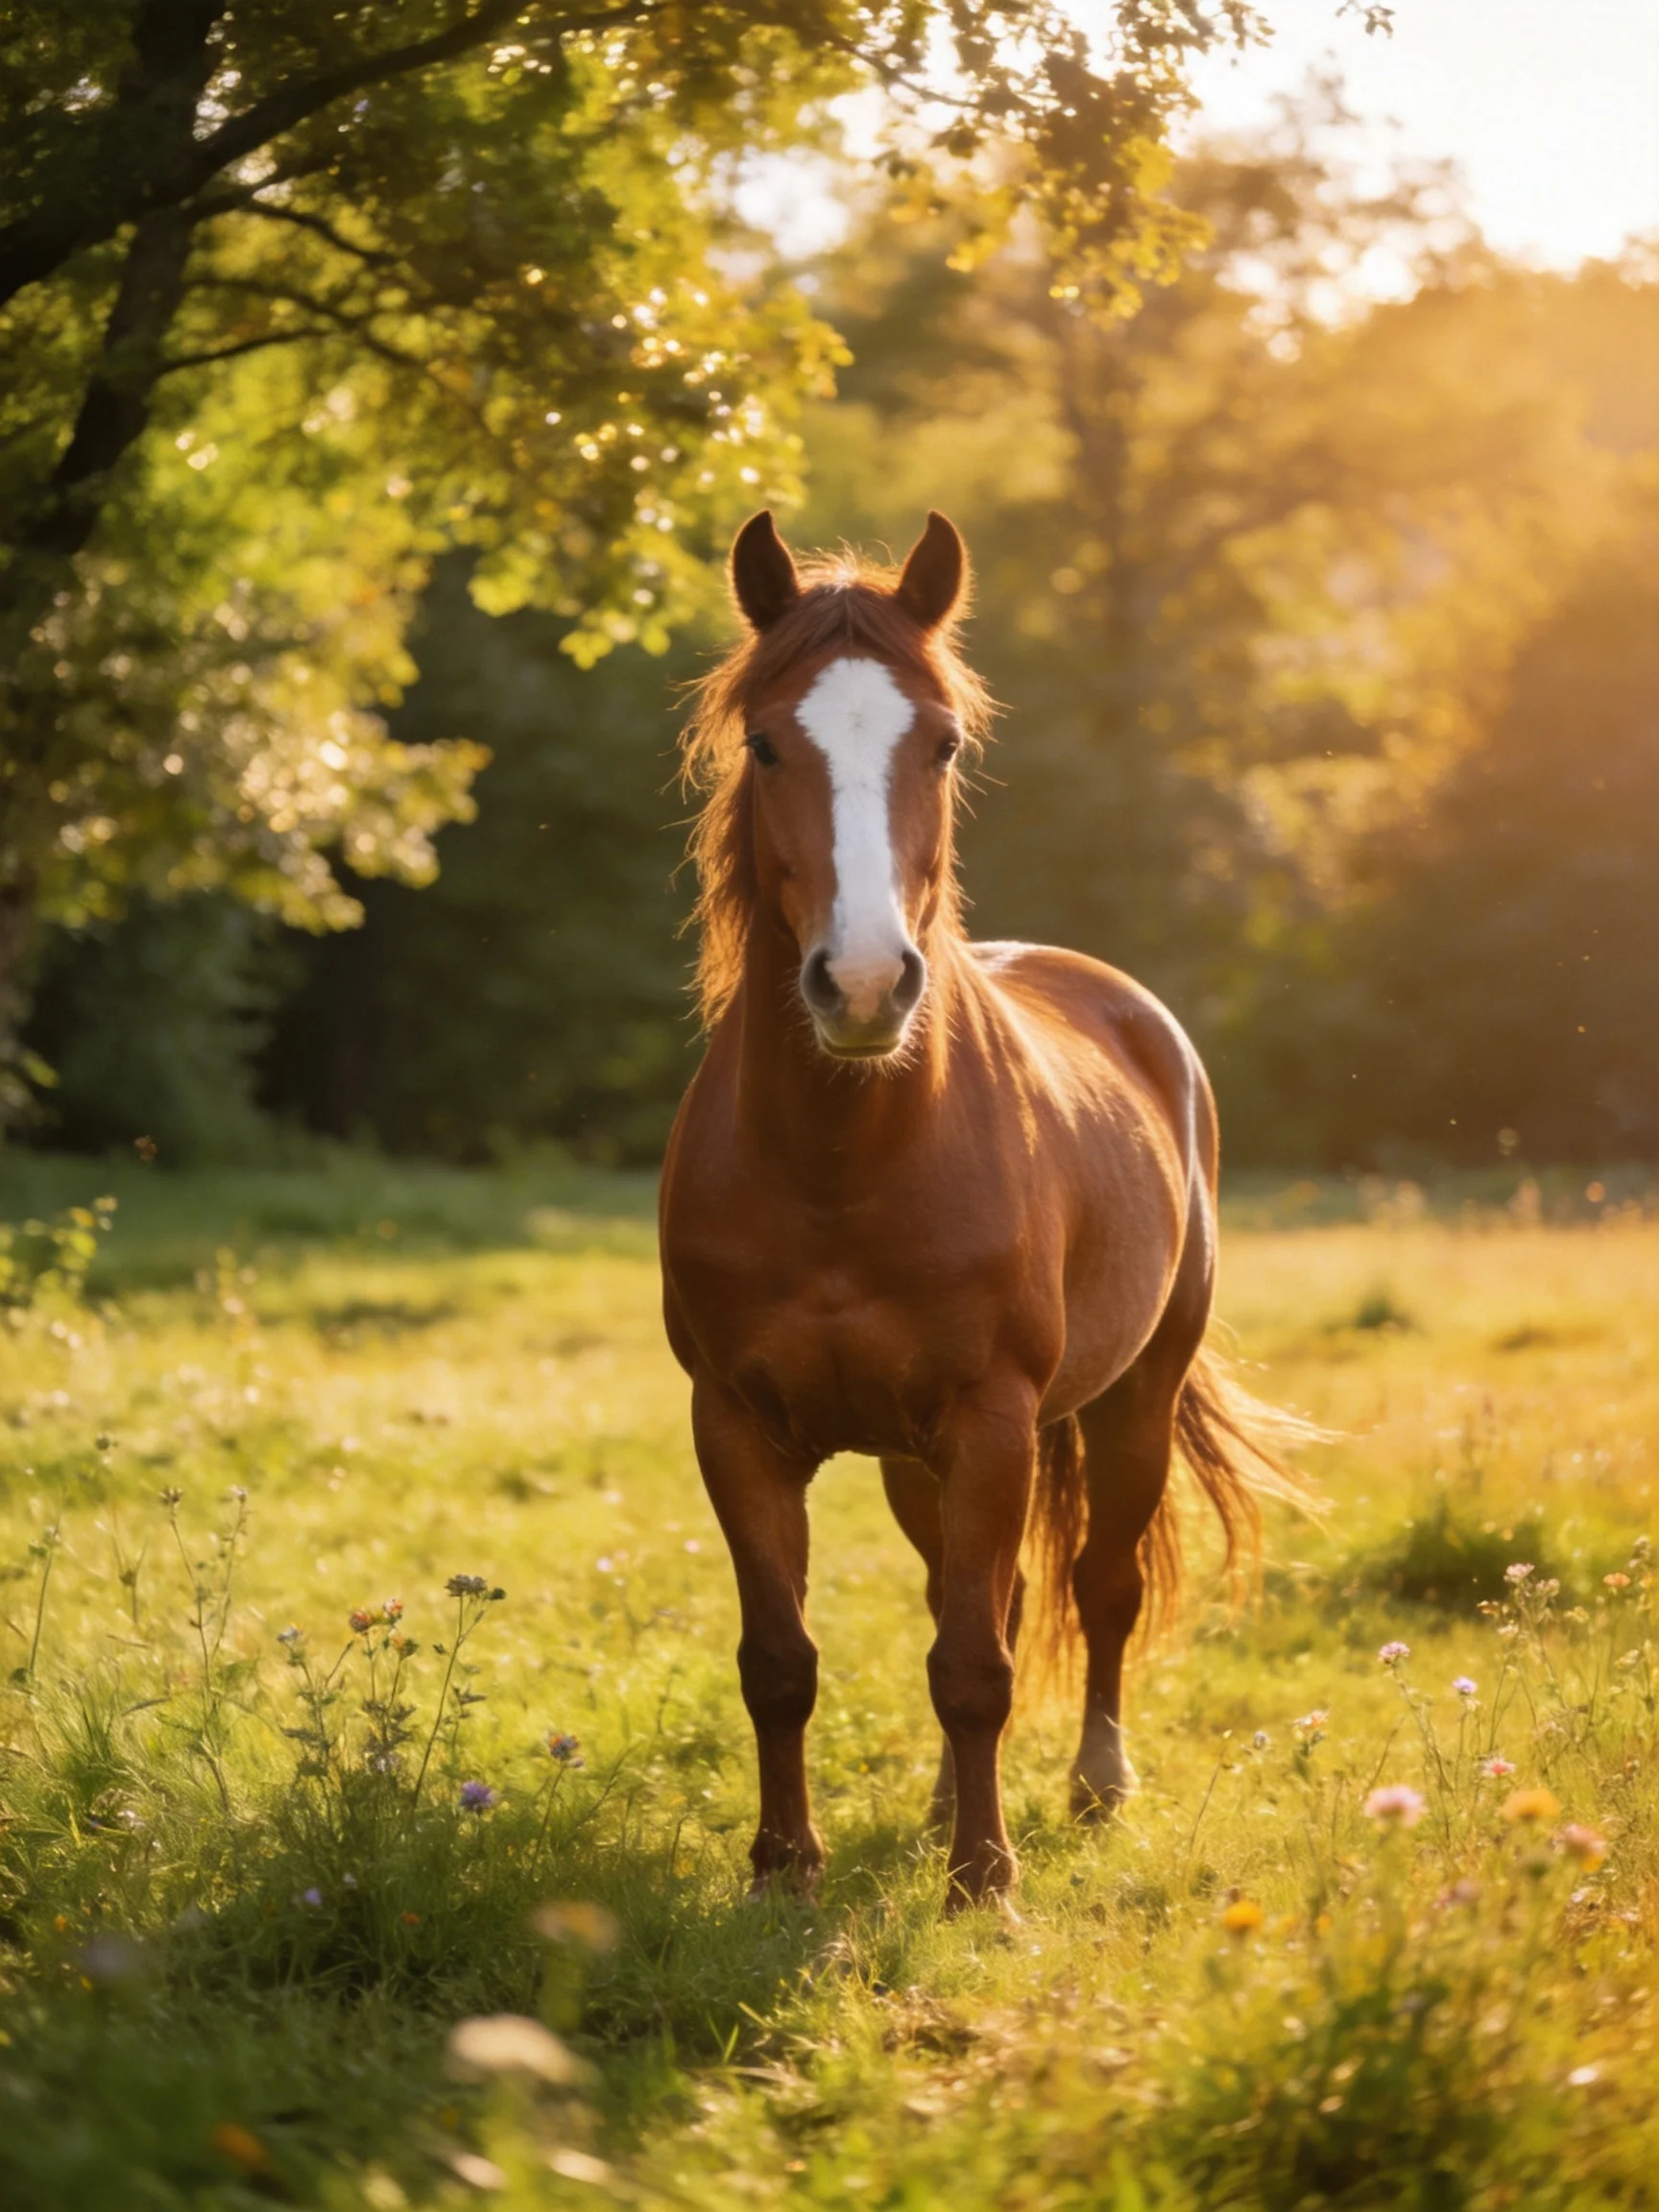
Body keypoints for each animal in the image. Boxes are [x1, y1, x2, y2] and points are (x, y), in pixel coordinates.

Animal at [658, 508, 1301, 1912]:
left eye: (942, 740)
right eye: (766, 742)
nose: (859, 986)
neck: (845, 1162)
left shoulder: (995, 1419)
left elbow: (979, 1665)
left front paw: (984, 1884)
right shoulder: (735, 1427)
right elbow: (782, 1659)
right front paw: (784, 1869)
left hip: (1130, 1401)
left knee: (1097, 1590)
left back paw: (1095, 1786)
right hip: (919, 1458)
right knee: (978, 1595)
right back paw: (953, 1802)